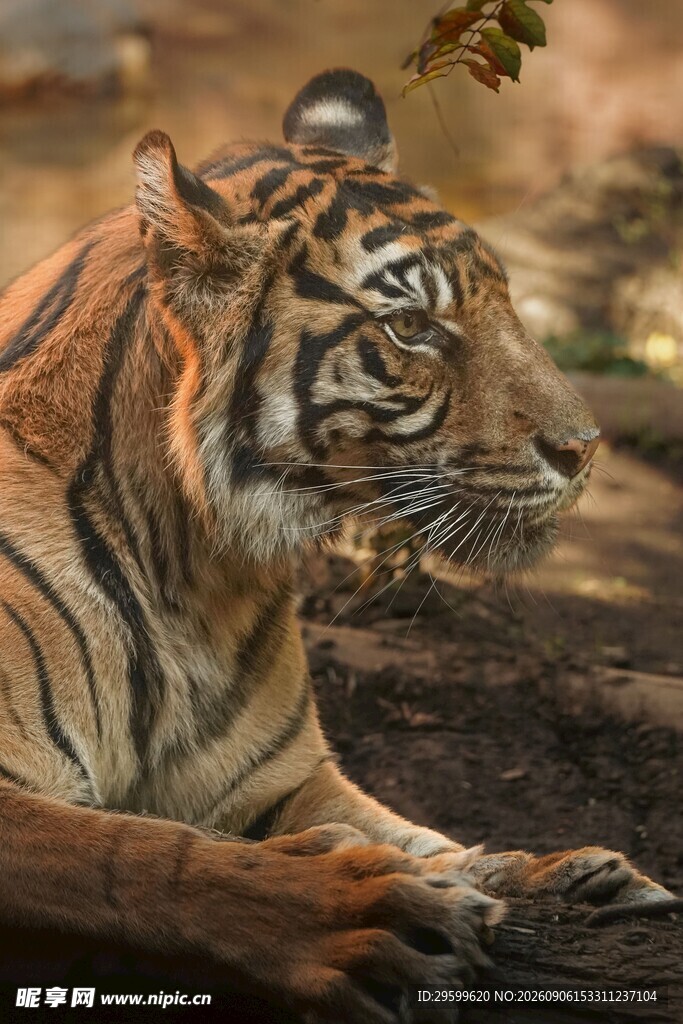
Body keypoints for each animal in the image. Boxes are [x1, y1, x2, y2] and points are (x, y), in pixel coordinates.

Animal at [0, 68, 672, 1023]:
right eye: (411, 328)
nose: (583, 447)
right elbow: (143, 857)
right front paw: (366, 913)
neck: (192, 564)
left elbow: (417, 832)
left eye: (503, 300)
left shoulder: (279, 781)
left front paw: (556, 876)